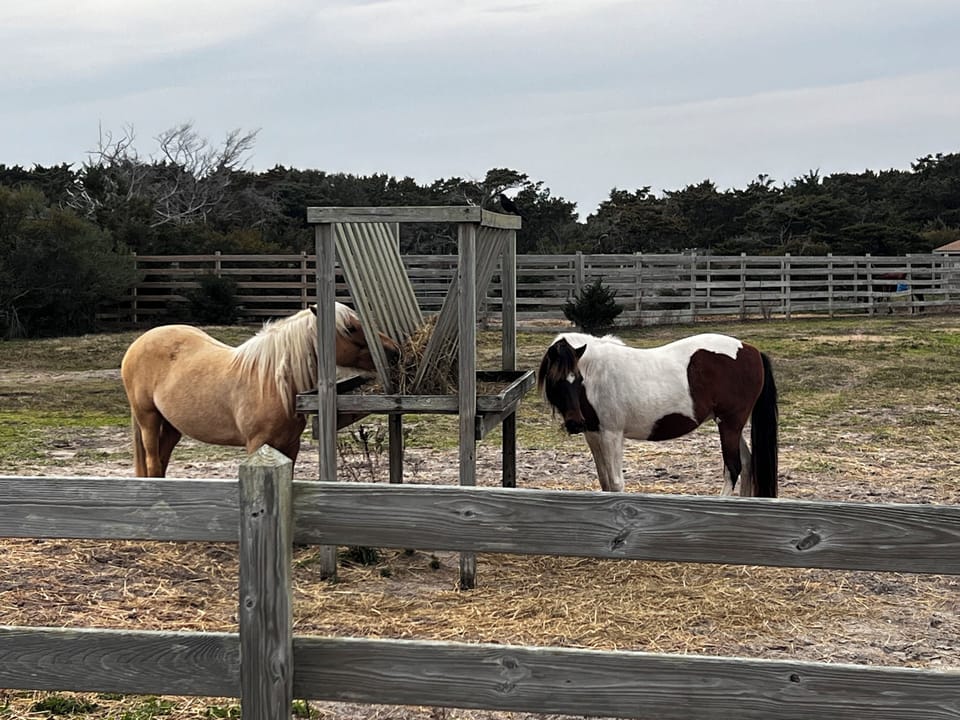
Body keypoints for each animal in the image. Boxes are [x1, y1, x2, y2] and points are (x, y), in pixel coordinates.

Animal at [120, 303, 400, 477]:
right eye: (350, 328)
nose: (394, 351)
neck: (273, 383)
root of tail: (138, 343)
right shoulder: (257, 445)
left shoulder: (290, 446)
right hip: (148, 418)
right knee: (153, 463)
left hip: (171, 425)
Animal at [537, 332, 779, 497]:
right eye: (555, 381)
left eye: (577, 379)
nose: (575, 424)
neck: (597, 374)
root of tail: (752, 351)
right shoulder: (594, 434)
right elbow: (605, 482)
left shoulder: (611, 435)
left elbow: (615, 483)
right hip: (732, 425)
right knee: (747, 463)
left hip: (729, 424)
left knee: (733, 467)